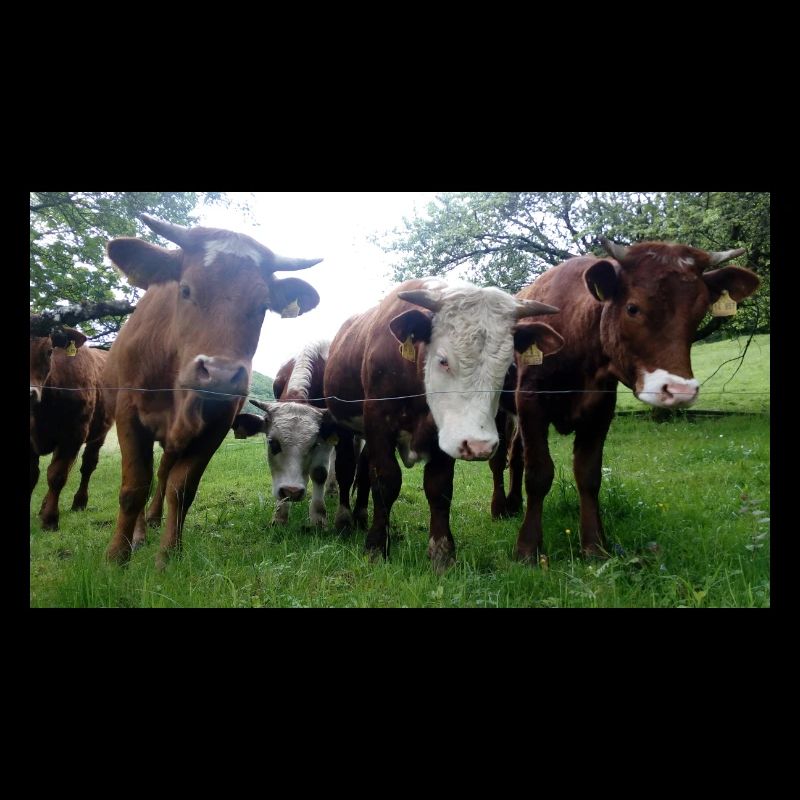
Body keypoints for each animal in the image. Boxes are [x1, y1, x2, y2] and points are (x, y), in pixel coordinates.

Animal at [30, 326, 113, 530]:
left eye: (49, 351)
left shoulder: (73, 436)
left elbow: (57, 475)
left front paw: (50, 520)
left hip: (100, 432)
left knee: (88, 465)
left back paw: (79, 502)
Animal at [102, 215, 322, 569]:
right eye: (185, 289)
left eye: (262, 305)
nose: (220, 374)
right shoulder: (128, 415)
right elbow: (134, 487)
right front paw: (116, 558)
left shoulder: (216, 425)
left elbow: (182, 488)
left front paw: (168, 556)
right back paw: (140, 532)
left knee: (163, 472)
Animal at [231, 340, 363, 528]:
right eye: (272, 443)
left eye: (313, 445)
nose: (292, 491)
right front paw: (280, 515)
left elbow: (320, 472)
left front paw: (318, 517)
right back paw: (331, 489)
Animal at [324, 278, 564, 572]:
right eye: (443, 360)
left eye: (508, 367)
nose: (479, 445)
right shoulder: (378, 422)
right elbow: (386, 481)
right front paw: (376, 546)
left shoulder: (444, 435)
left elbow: (439, 488)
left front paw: (442, 553)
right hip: (347, 428)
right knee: (347, 469)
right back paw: (345, 519)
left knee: (363, 468)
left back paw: (360, 516)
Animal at [495, 238, 760, 562]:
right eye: (632, 308)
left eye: (700, 311)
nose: (679, 389)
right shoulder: (531, 403)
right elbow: (538, 473)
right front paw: (527, 548)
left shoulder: (600, 409)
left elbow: (588, 475)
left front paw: (595, 546)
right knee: (500, 458)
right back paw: (499, 508)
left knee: (515, 455)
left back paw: (513, 504)